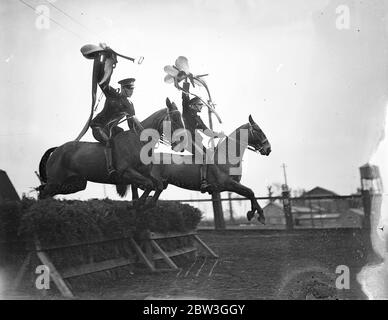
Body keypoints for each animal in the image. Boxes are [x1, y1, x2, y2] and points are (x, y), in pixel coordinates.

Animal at [38, 98, 186, 208]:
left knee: (44, 191)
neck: (138, 141)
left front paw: (145, 204)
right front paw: (140, 204)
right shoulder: (126, 172)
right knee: (43, 193)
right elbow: (149, 185)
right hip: (55, 181)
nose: (182, 144)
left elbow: (158, 186)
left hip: (75, 184)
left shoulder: (143, 174)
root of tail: (57, 149)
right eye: (174, 118)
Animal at [133, 115, 272, 222]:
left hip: (160, 186)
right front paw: (260, 215)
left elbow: (250, 194)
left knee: (147, 201)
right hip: (153, 183)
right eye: (258, 130)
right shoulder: (228, 184)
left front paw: (252, 212)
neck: (226, 156)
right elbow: (250, 192)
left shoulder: (234, 184)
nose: (268, 149)